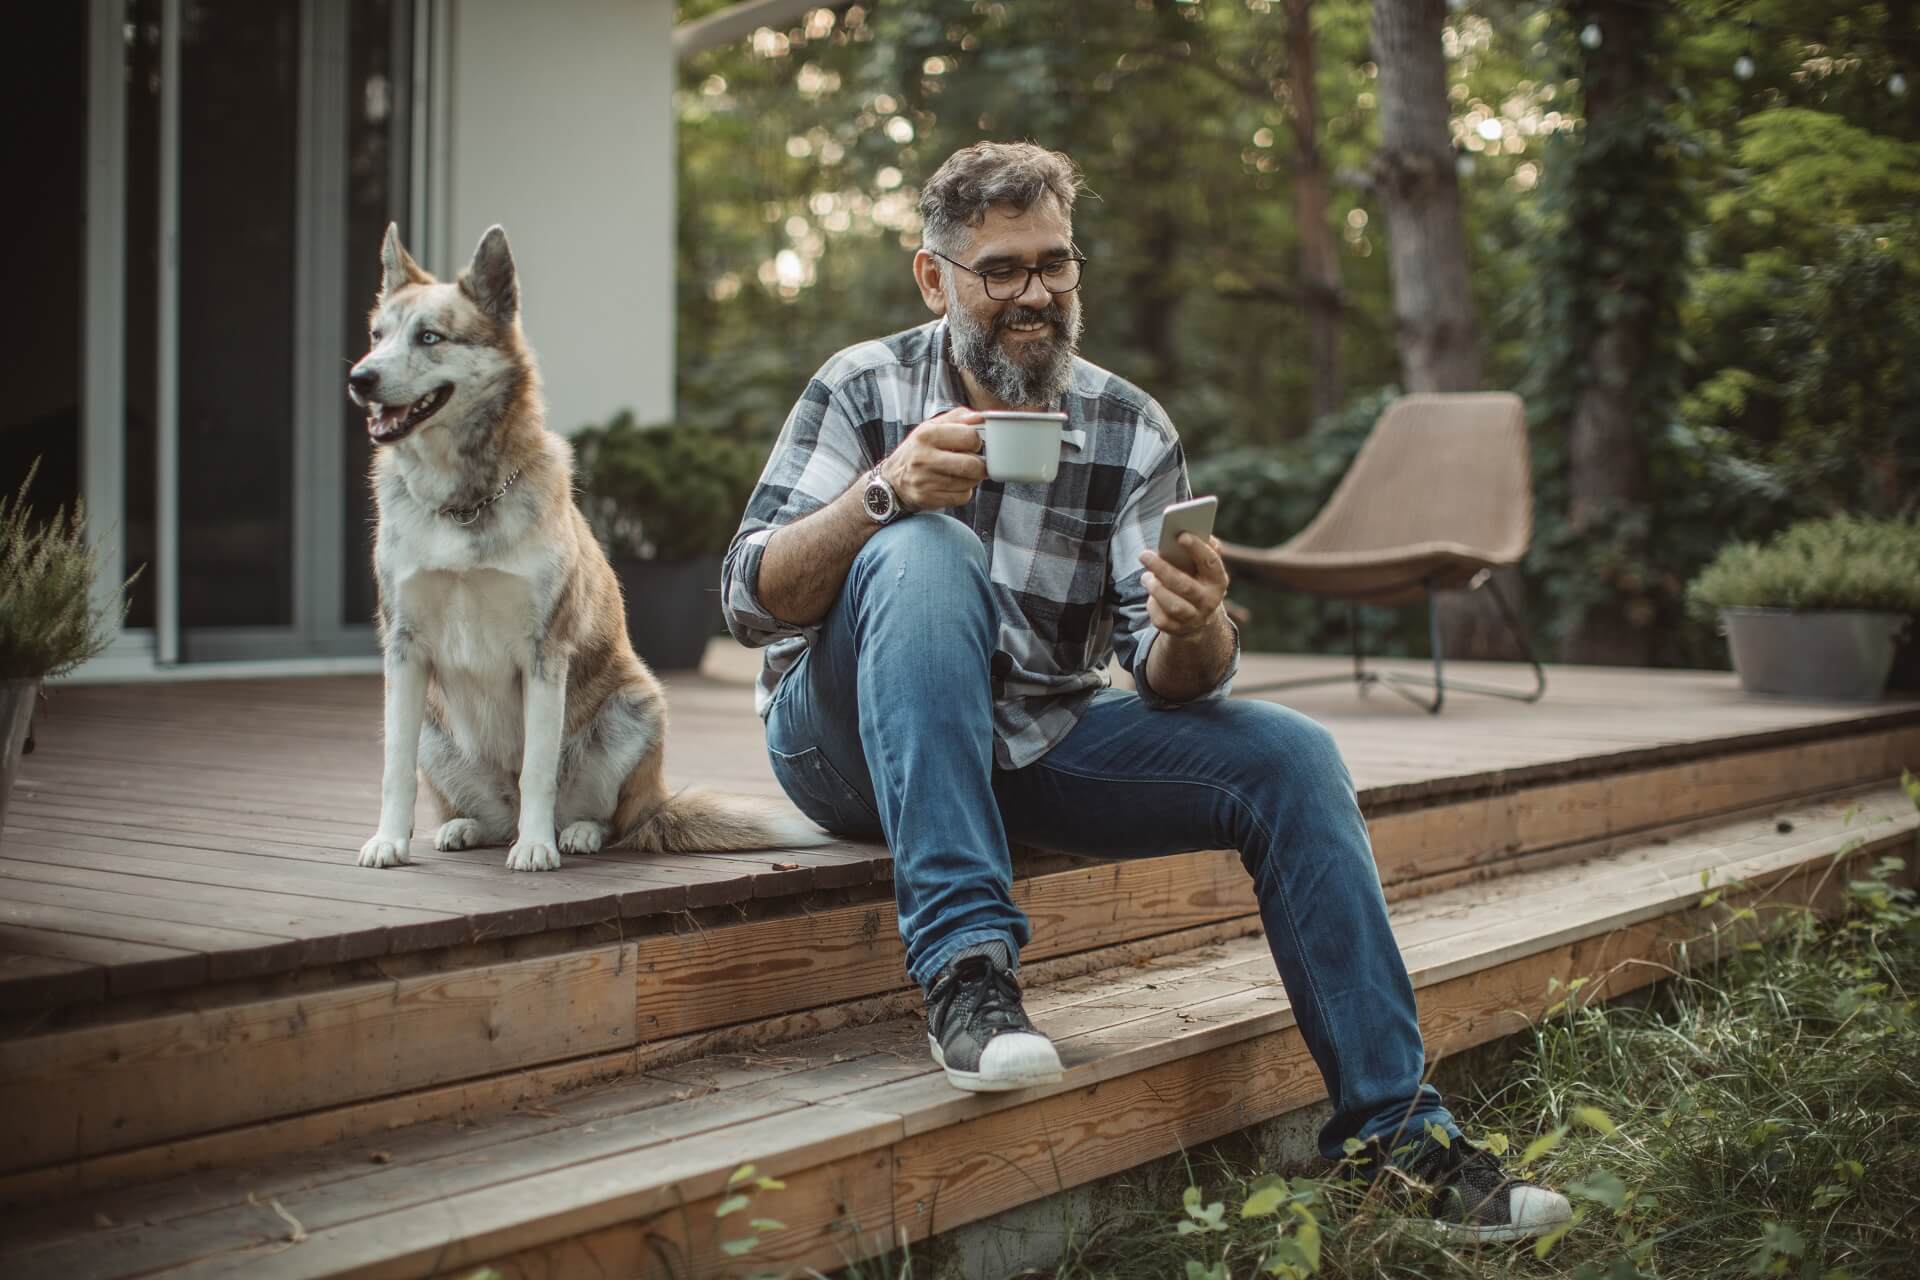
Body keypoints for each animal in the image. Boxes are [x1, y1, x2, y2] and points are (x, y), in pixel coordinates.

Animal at [349, 227, 821, 871]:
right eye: (378, 336)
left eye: (429, 337)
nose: (360, 379)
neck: (463, 503)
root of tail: (656, 802)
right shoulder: (403, 651)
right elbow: (392, 768)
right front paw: (389, 842)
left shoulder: (544, 653)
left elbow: (538, 771)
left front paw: (537, 848)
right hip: (431, 726)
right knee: (485, 811)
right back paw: (466, 827)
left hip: (636, 706)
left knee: (604, 816)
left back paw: (572, 834)